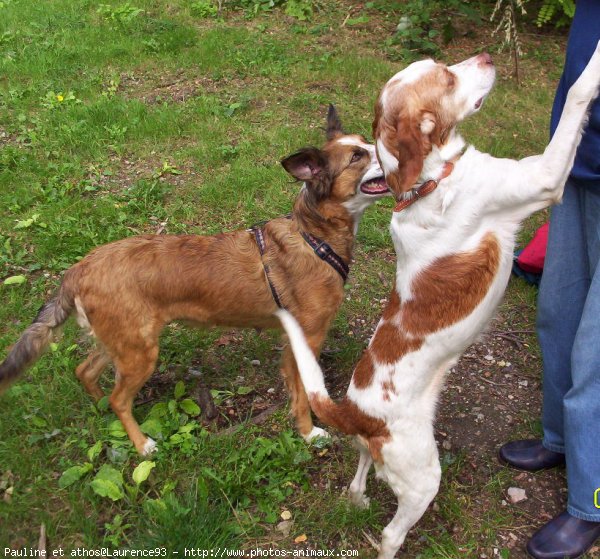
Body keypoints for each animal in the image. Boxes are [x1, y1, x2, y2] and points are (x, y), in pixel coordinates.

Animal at [0, 107, 390, 458]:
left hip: (123, 341)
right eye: (357, 155)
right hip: (140, 350)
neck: (315, 236)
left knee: (87, 372)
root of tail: (79, 268)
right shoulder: (305, 339)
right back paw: (142, 444)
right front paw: (309, 434)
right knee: (118, 398)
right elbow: (303, 395)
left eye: (364, 141)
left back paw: (102, 413)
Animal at [278, 41, 600, 556]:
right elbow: (578, 91)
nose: (489, 57)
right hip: (422, 477)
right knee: (390, 535)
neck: (427, 181)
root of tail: (355, 412)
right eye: (447, 78)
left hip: (376, 454)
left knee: (359, 474)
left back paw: (357, 498)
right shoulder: (546, 176)